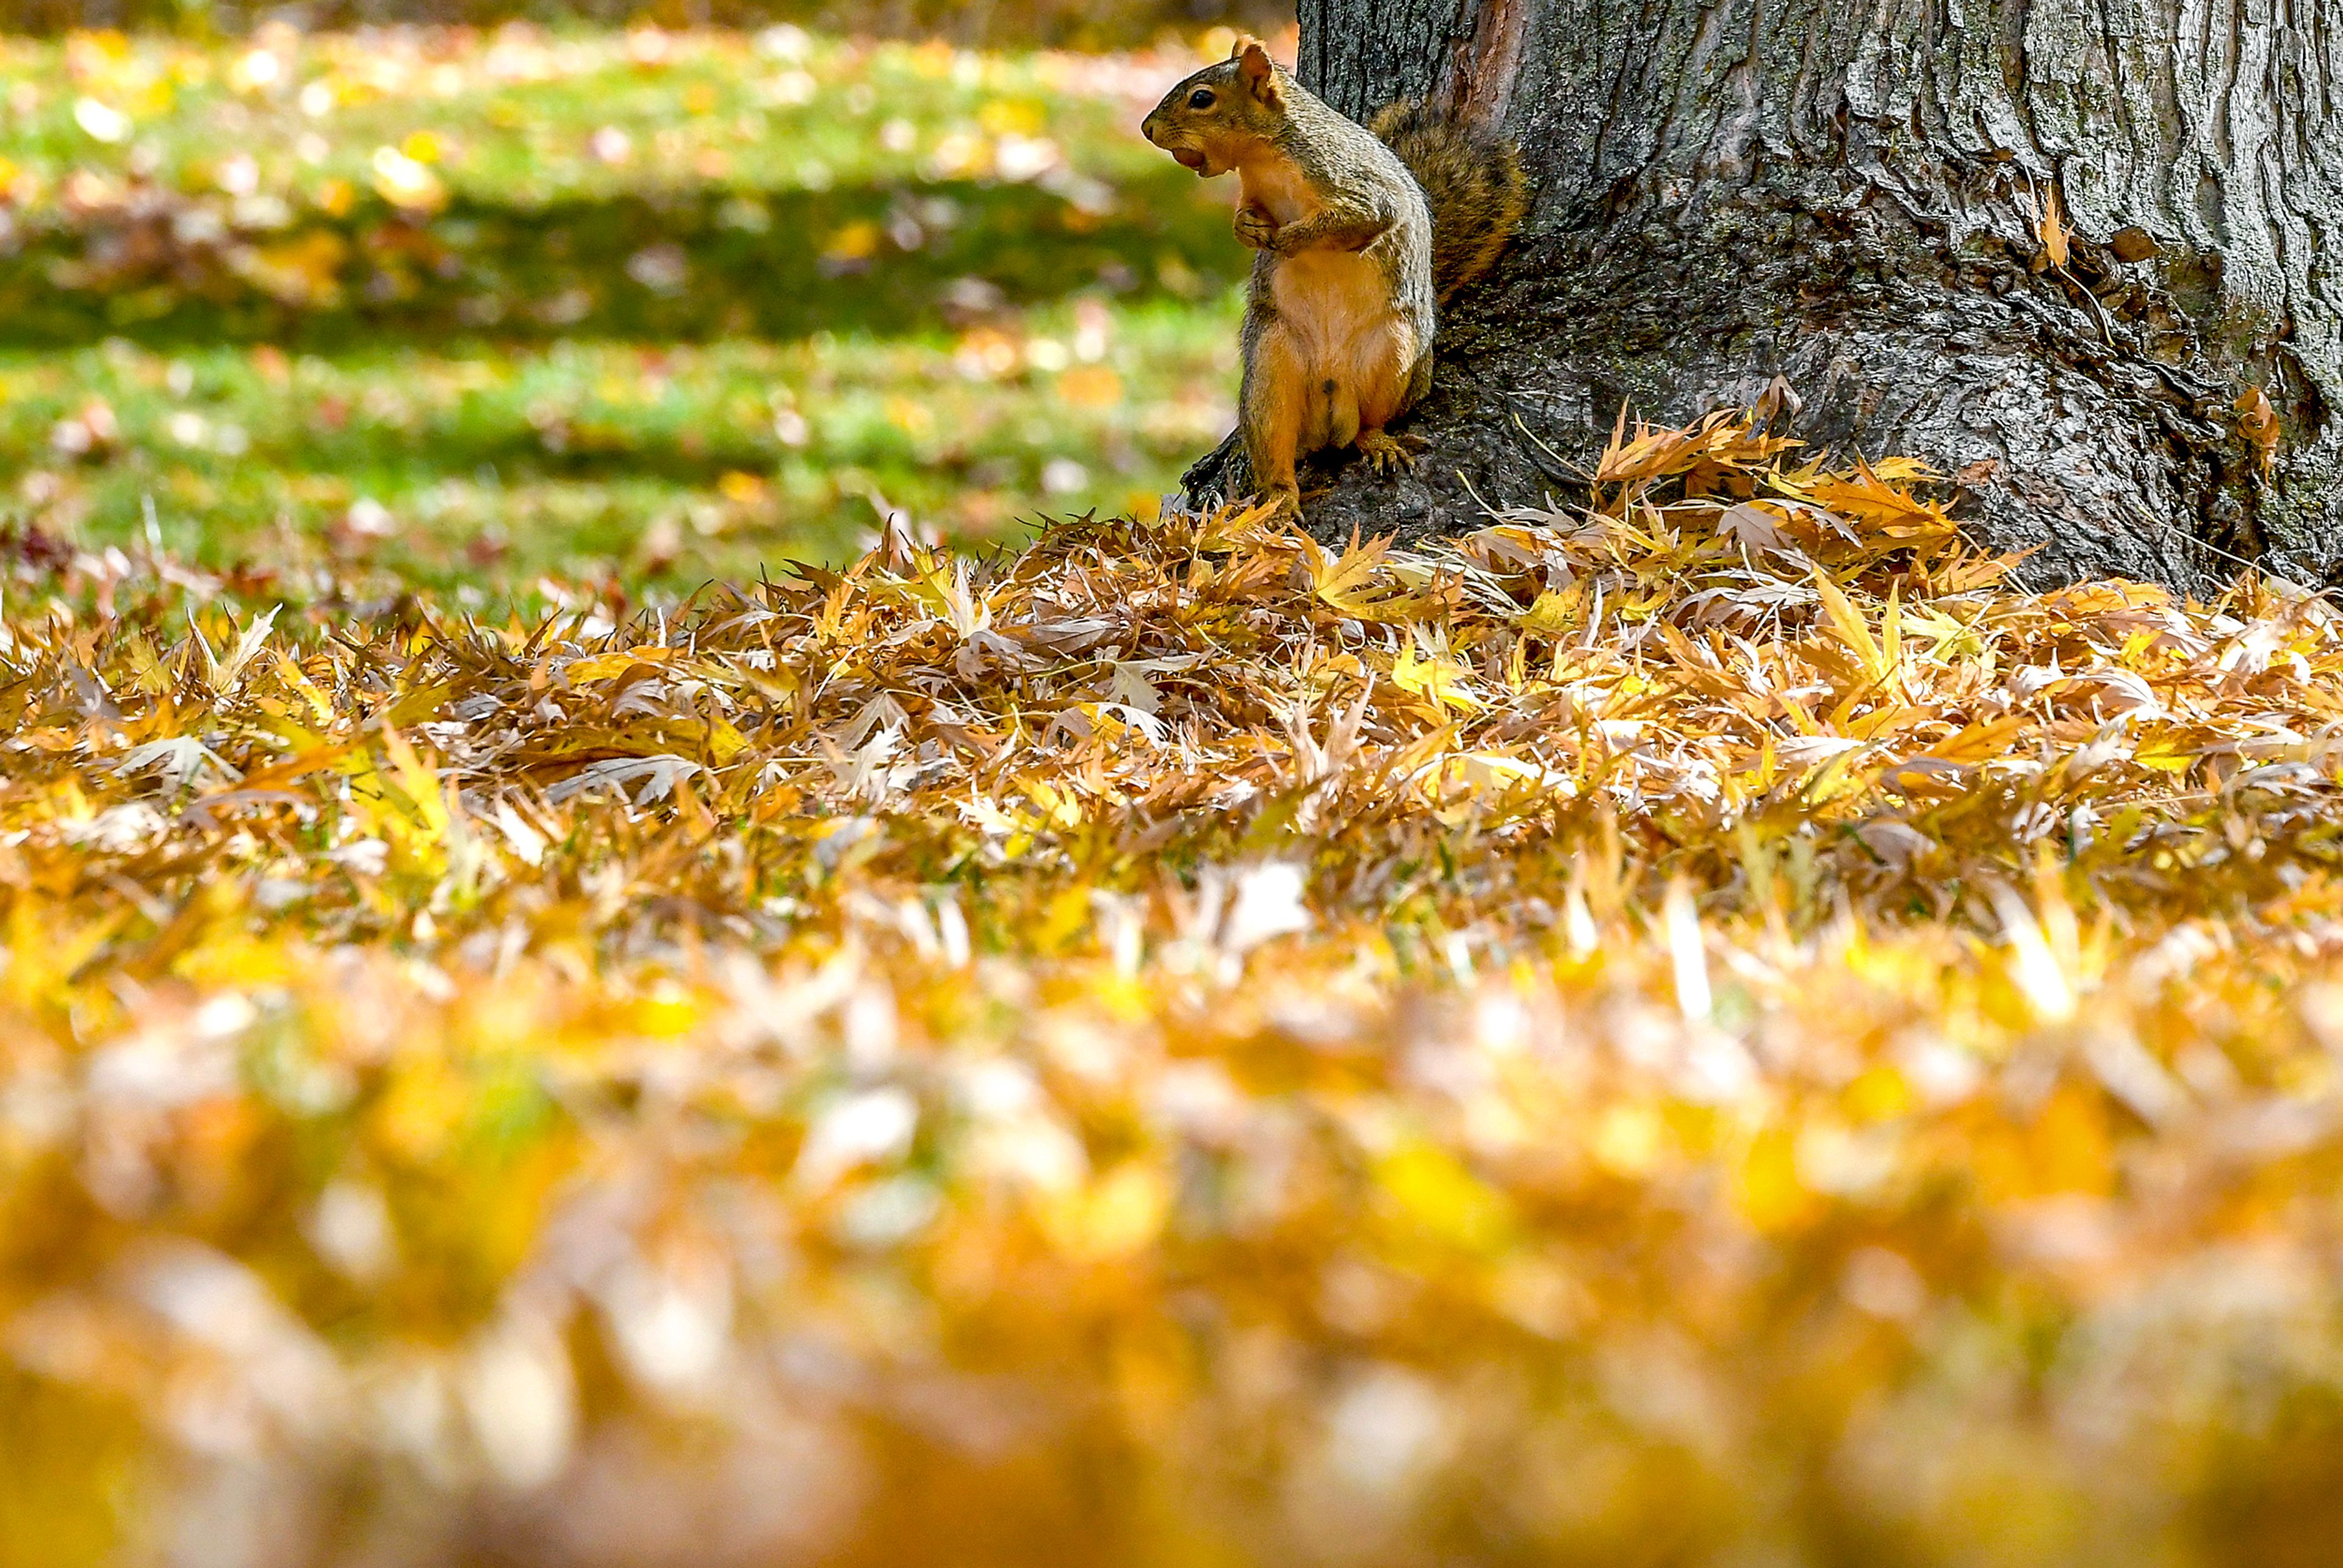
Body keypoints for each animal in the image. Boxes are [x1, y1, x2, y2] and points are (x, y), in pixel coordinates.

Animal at [1143, 37, 1527, 520]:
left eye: (1201, 99)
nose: (1147, 129)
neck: (1263, 157)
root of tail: (1332, 397)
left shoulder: (1355, 185)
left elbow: (1356, 220)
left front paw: (1290, 238)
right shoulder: (1254, 193)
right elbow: (1245, 219)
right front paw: (1249, 231)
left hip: (1395, 353)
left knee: (1371, 421)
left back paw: (1377, 442)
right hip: (1271, 366)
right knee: (1275, 439)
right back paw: (1279, 498)